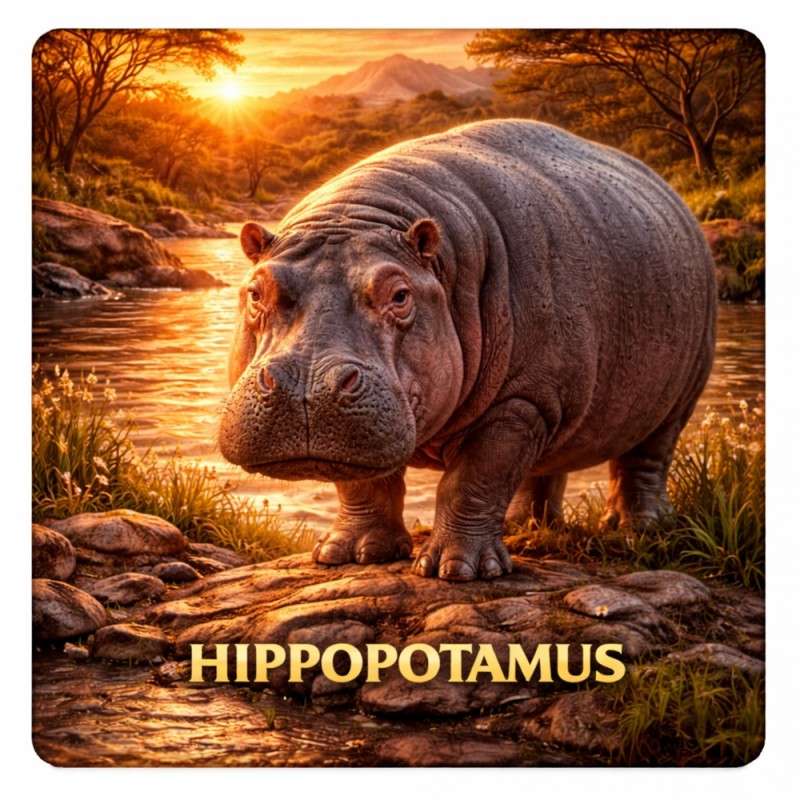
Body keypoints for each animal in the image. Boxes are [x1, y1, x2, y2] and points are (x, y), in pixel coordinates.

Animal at [220, 120, 716, 582]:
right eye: (256, 291)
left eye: (400, 294)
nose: (307, 388)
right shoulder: (367, 436)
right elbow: (363, 484)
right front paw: (351, 555)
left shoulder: (521, 402)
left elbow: (475, 478)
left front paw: (458, 571)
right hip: (557, 404)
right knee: (542, 467)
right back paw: (526, 529)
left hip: (675, 395)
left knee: (647, 458)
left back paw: (640, 529)